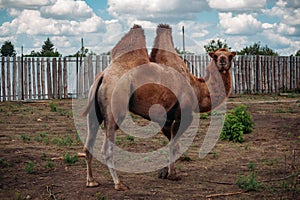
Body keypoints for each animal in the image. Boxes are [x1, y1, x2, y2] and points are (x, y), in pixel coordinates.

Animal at [81, 23, 236, 191]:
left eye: (230, 56)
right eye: (215, 56)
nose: (222, 62)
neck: (198, 89)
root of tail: (103, 76)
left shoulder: (166, 119)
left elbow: (172, 144)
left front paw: (165, 173)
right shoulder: (184, 114)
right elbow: (174, 145)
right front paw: (173, 175)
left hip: (94, 110)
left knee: (88, 144)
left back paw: (91, 181)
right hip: (115, 105)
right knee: (106, 148)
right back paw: (119, 183)